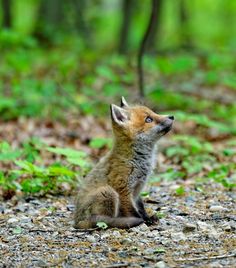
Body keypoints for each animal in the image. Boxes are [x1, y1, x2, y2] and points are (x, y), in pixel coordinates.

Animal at [74, 97, 174, 229]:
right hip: (108, 192)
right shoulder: (123, 189)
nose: (172, 116)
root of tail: (77, 222)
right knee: (102, 221)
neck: (136, 161)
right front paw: (143, 221)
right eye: (148, 119)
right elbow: (134, 212)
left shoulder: (137, 191)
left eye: (153, 112)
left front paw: (148, 218)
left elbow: (141, 208)